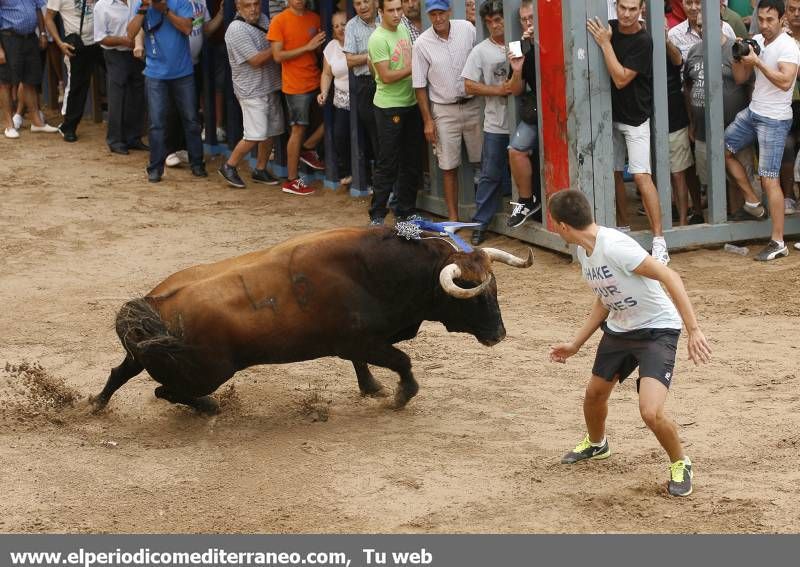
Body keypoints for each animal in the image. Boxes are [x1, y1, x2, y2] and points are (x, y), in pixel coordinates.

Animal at [92, 227, 532, 418]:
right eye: (478, 295)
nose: (499, 334)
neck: (376, 271)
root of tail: (152, 304)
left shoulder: (359, 342)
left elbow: (364, 365)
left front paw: (372, 388)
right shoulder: (362, 341)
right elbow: (402, 362)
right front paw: (399, 396)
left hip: (145, 355)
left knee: (121, 372)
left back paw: (95, 404)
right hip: (209, 372)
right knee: (166, 392)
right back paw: (207, 405)